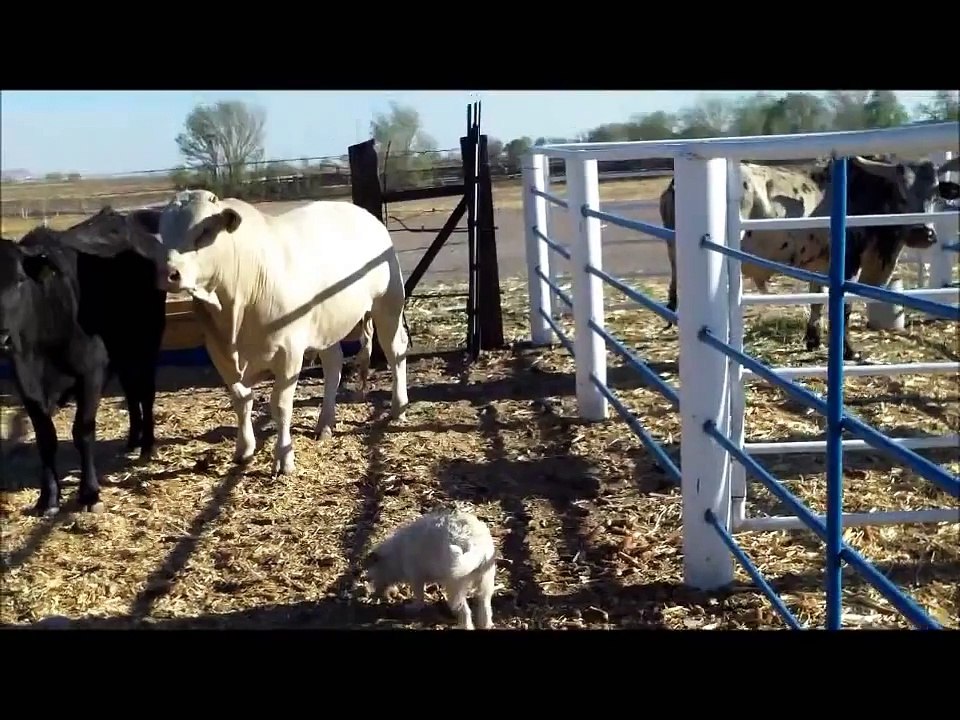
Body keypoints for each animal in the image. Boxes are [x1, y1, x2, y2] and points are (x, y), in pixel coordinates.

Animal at [0, 210, 166, 515]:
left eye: (19, 280)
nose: (1, 337)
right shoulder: (26, 383)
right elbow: (45, 438)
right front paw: (48, 498)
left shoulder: (91, 373)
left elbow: (83, 431)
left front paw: (90, 493)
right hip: (123, 356)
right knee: (132, 392)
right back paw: (133, 439)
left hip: (146, 344)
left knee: (146, 393)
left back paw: (147, 445)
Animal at [118, 190, 410, 477]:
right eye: (162, 234)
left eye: (204, 230)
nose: (169, 274)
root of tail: (364, 214)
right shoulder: (218, 351)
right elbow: (241, 400)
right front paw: (244, 449)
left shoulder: (289, 352)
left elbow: (280, 405)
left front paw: (283, 458)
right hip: (328, 323)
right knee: (333, 365)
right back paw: (325, 422)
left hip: (388, 304)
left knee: (395, 351)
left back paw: (398, 407)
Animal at [658, 155, 960, 361]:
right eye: (900, 194)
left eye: (935, 194)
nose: (924, 234)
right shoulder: (849, 264)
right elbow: (844, 308)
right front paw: (847, 350)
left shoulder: (821, 264)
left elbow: (817, 299)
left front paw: (812, 339)